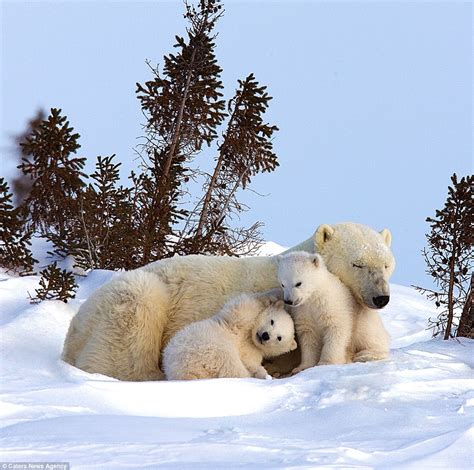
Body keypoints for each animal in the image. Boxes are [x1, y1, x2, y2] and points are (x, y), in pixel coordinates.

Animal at [163, 296, 296, 380]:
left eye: (279, 338)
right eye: (272, 321)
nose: (265, 335)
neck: (249, 339)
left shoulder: (255, 352)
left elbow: (251, 362)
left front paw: (264, 374)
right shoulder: (235, 323)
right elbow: (242, 309)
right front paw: (270, 300)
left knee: (232, 368)